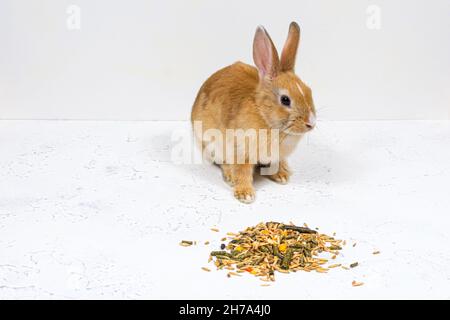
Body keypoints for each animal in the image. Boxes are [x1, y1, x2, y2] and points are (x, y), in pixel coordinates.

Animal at [192, 21, 314, 202]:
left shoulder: (275, 156)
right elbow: (242, 171)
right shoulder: (240, 150)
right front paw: (245, 194)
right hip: (211, 144)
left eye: (309, 91)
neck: (266, 118)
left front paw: (281, 175)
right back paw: (230, 177)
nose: (311, 123)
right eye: (285, 100)